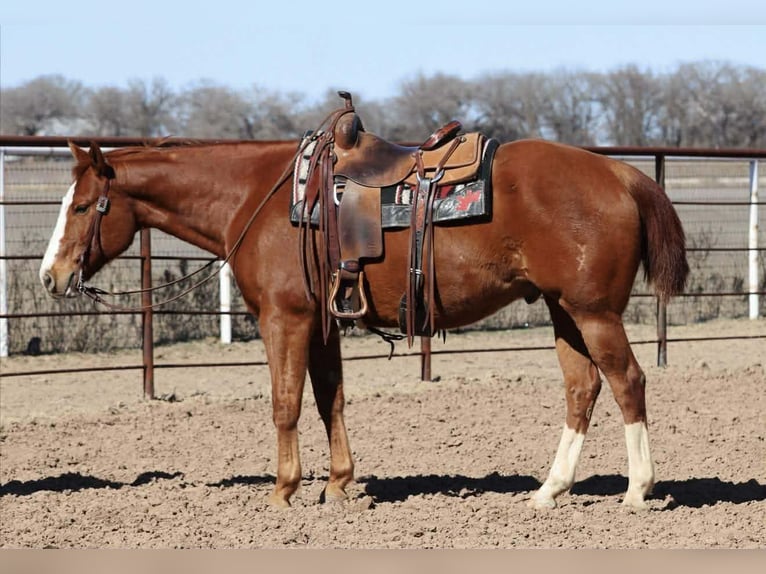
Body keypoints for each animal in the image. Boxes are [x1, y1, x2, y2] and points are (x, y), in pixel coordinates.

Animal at [39, 117, 688, 511]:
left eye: (83, 206)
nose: (51, 276)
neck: (258, 199)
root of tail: (621, 173)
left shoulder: (284, 320)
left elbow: (286, 403)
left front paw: (283, 492)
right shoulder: (321, 323)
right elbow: (331, 400)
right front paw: (339, 485)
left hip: (593, 312)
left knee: (627, 381)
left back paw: (638, 490)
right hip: (564, 312)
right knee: (583, 389)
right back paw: (548, 490)